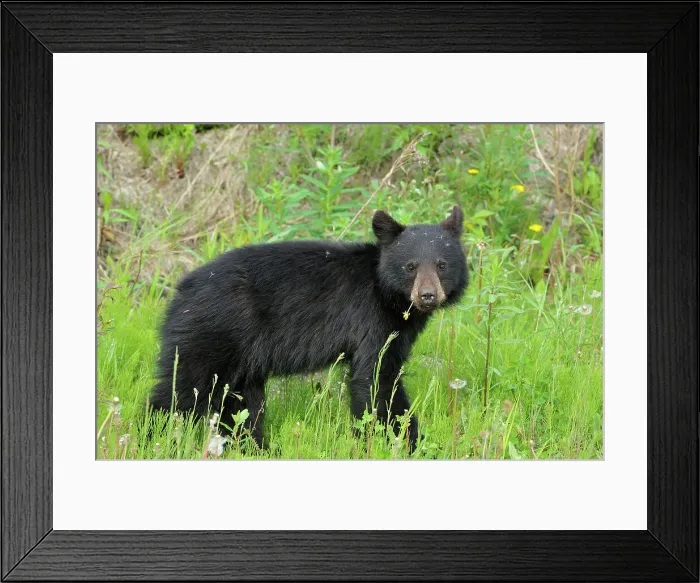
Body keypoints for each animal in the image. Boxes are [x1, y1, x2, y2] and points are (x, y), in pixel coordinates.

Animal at [149, 205, 468, 453]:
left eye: (441, 264)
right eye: (410, 266)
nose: (427, 296)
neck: (386, 293)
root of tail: (181, 291)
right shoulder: (371, 320)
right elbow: (377, 378)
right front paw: (408, 442)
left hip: (243, 359)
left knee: (241, 406)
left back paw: (259, 449)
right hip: (212, 333)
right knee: (182, 391)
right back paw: (155, 437)